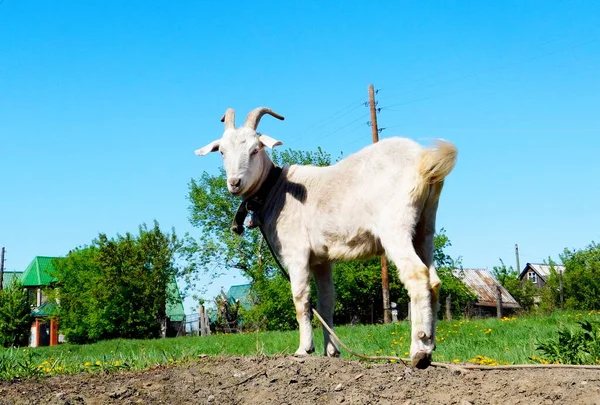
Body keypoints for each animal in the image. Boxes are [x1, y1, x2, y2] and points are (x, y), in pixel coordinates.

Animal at [195, 105, 458, 368]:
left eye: (255, 149)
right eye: (222, 152)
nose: (234, 183)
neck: (276, 191)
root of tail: (423, 159)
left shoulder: (297, 253)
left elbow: (301, 299)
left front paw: (304, 349)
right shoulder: (321, 260)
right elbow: (326, 302)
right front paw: (331, 351)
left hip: (395, 225)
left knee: (417, 274)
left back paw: (419, 350)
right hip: (424, 226)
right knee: (433, 279)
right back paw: (430, 346)